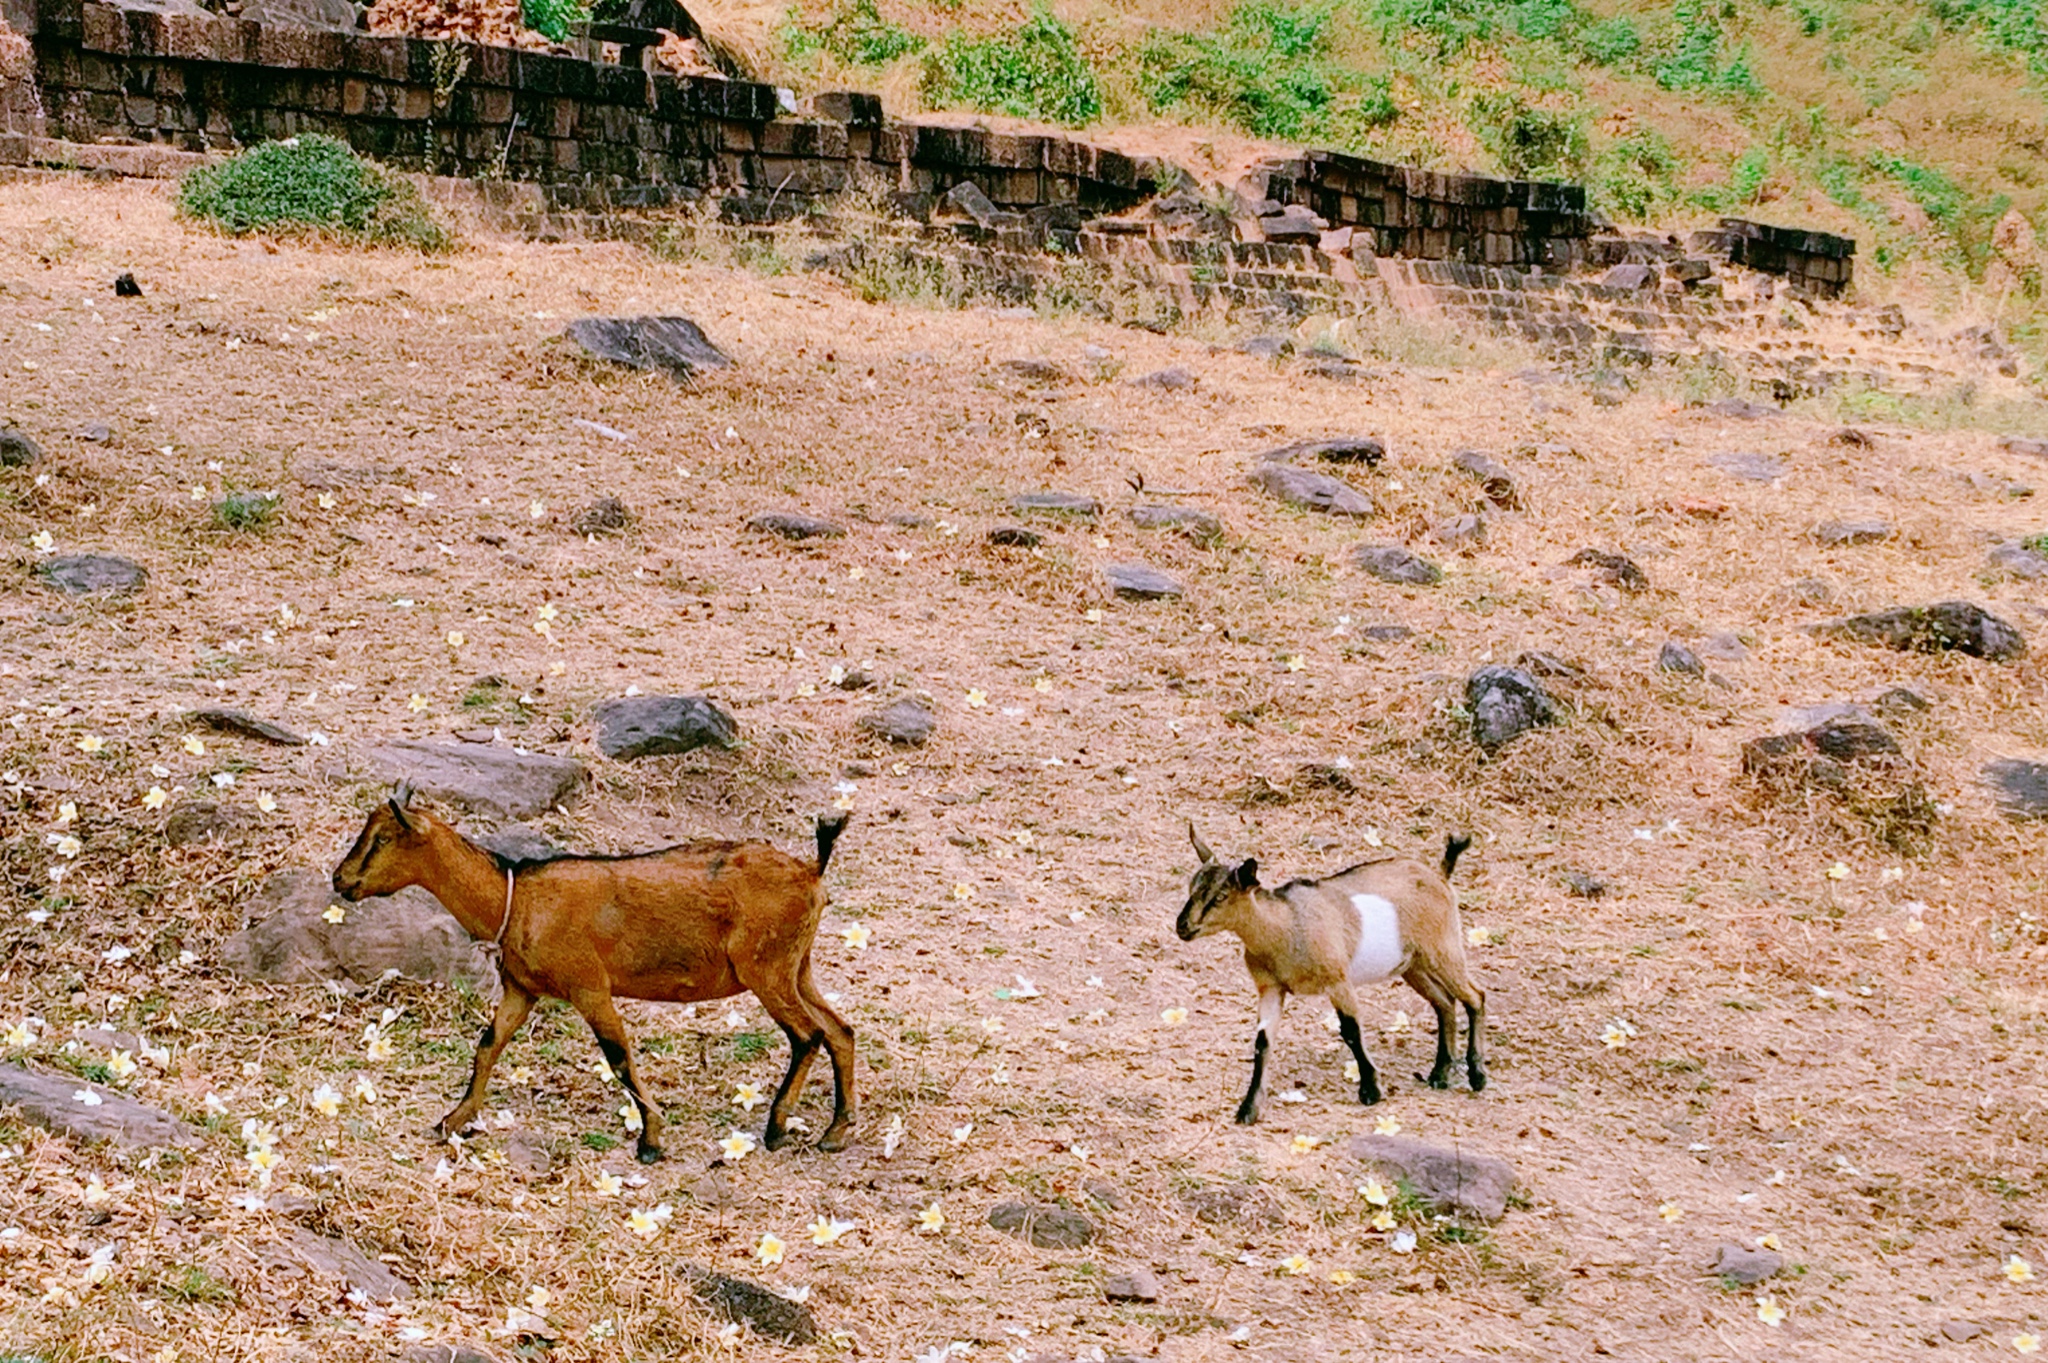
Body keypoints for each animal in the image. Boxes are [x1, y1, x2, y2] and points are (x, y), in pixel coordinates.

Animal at [329, 785, 856, 1154]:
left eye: (382, 838)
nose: (340, 879)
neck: (516, 897)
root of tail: (812, 871)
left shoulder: (590, 988)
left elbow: (618, 1056)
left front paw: (651, 1139)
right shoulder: (521, 990)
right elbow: (487, 1046)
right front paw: (453, 1120)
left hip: (766, 970)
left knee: (807, 1035)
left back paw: (777, 1128)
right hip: (797, 967)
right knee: (840, 1030)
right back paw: (835, 1131)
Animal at [1171, 822, 1490, 1121]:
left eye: (1221, 896)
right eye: (1191, 888)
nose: (1182, 926)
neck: (1284, 925)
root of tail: (1440, 875)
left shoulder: (1337, 980)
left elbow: (1350, 1031)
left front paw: (1371, 1090)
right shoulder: (1270, 988)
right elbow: (1262, 1043)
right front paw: (1248, 1109)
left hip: (1443, 949)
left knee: (1475, 996)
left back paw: (1476, 1075)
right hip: (1413, 966)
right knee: (1445, 1003)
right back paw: (1439, 1075)